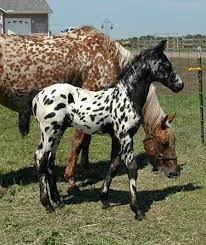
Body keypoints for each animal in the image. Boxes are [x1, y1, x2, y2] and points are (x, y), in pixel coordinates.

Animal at [33, 40, 184, 220]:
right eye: (166, 64)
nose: (180, 84)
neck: (127, 96)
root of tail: (38, 97)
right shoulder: (125, 136)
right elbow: (131, 167)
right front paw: (137, 210)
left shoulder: (117, 138)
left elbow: (114, 165)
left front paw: (104, 199)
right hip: (49, 132)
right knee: (41, 159)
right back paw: (47, 204)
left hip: (57, 133)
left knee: (48, 161)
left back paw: (58, 200)